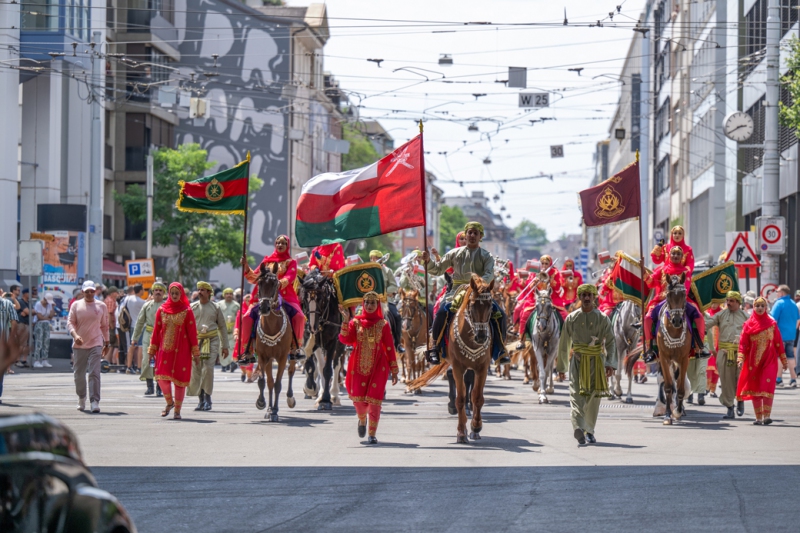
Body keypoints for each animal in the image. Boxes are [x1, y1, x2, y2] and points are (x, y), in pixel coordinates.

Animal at [253, 260, 296, 420]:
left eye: (275, 284)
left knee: (291, 371)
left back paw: (290, 398)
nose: (264, 308)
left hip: (293, 353)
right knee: (270, 382)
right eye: (259, 283)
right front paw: (263, 404)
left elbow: (278, 384)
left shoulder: (283, 357)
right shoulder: (263, 356)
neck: (271, 325)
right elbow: (264, 381)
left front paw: (276, 410)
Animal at [296, 268, 340, 410]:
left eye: (321, 299)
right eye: (304, 298)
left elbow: (327, 370)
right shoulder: (309, 341)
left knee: (336, 366)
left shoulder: (332, 342)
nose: (312, 327)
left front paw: (325, 399)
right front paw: (310, 388)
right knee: (320, 365)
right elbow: (311, 366)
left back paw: (334, 395)